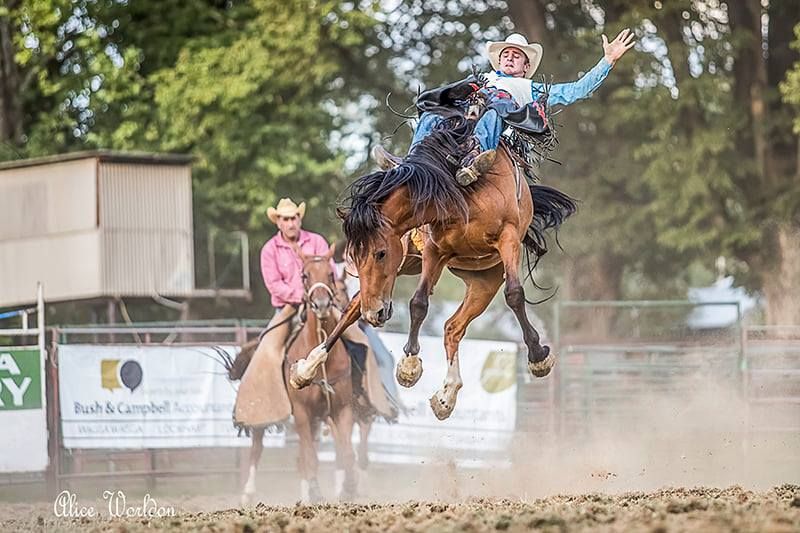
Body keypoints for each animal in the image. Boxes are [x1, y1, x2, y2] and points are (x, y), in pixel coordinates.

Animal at [238, 247, 356, 500]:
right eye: (305, 275)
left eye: (330, 273)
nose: (322, 304)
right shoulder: (302, 412)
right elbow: (310, 456)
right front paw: (317, 492)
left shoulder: (342, 409)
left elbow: (346, 452)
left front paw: (348, 489)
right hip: (265, 410)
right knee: (258, 445)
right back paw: (249, 493)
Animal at [290, 116, 580, 420]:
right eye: (353, 257)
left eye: (380, 253)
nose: (375, 315)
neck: (461, 194)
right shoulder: (433, 250)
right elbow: (418, 303)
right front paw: (409, 365)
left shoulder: (508, 238)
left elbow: (514, 295)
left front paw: (538, 357)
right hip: (405, 265)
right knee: (355, 306)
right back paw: (307, 368)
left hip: (482, 282)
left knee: (452, 327)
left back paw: (447, 395)